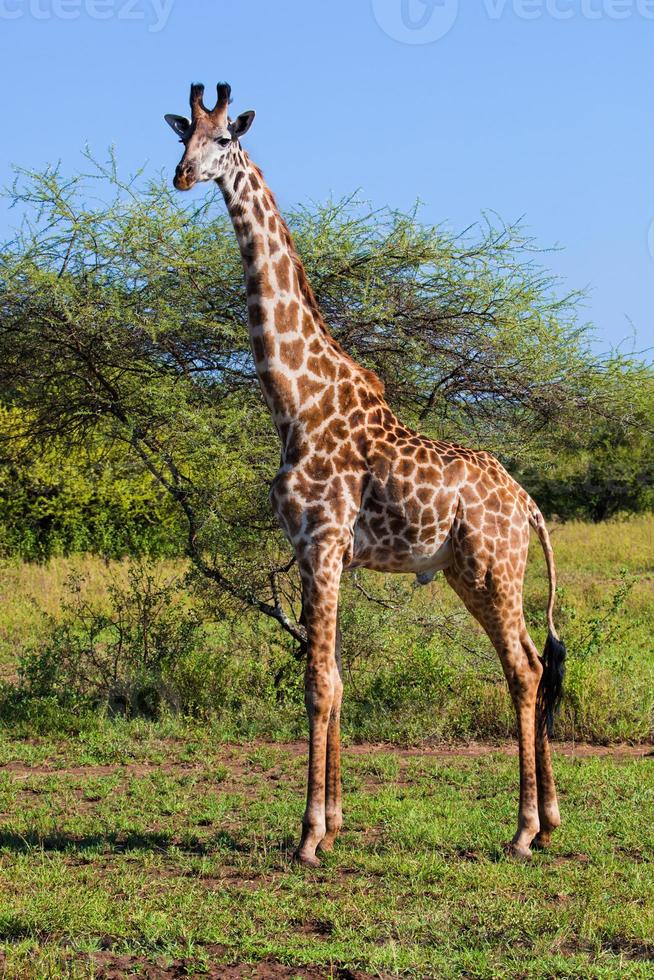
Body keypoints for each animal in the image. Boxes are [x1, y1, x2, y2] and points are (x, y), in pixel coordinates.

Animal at [165, 82, 568, 864]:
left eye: (226, 137)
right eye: (178, 136)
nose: (183, 176)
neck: (295, 399)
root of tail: (529, 504)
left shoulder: (322, 541)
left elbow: (318, 684)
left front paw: (308, 838)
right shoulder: (316, 551)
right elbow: (339, 679)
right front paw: (336, 821)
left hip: (493, 568)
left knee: (525, 669)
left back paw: (522, 831)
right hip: (468, 572)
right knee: (536, 662)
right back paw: (551, 818)